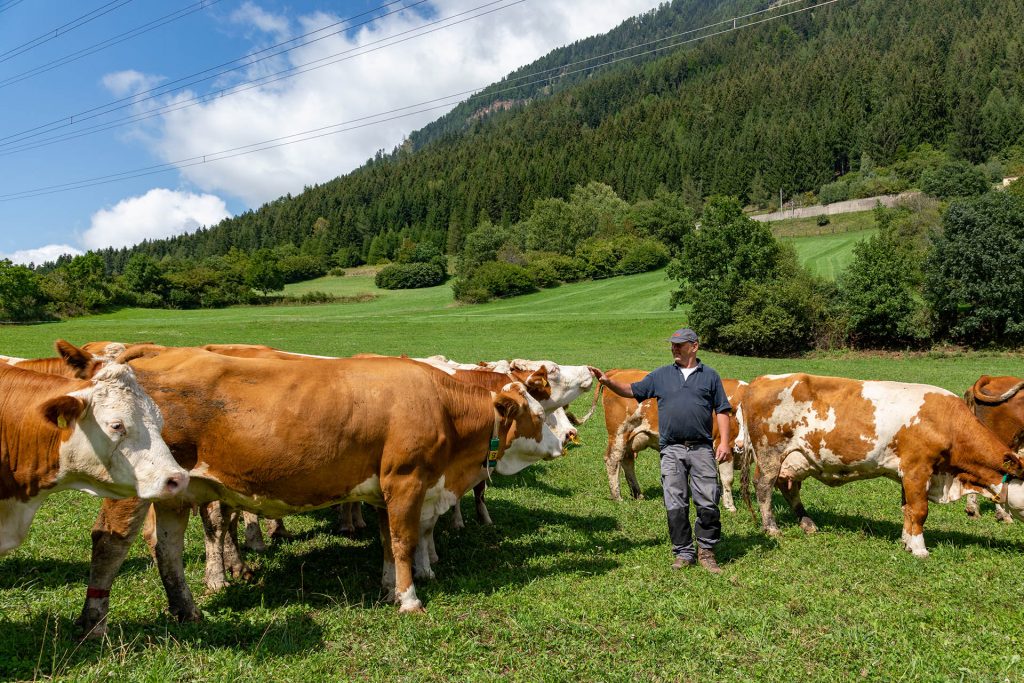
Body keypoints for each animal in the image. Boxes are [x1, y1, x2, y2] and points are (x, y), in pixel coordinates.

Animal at [75, 344, 565, 636]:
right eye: (536, 412)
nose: (567, 441)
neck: (440, 403)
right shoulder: (405, 480)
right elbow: (404, 541)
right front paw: (409, 600)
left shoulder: (383, 487)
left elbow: (386, 541)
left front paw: (389, 587)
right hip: (134, 490)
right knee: (110, 543)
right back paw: (95, 622)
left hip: (175, 491)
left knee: (168, 549)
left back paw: (187, 610)